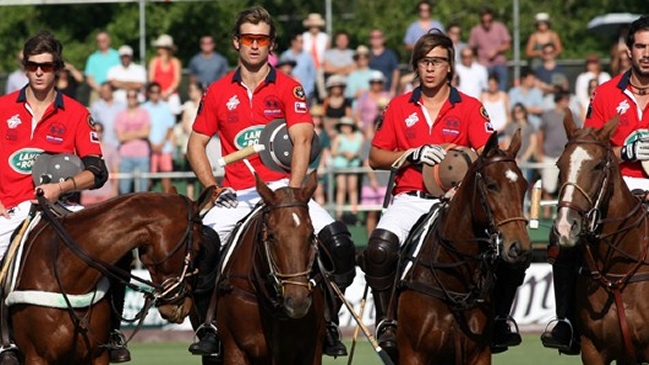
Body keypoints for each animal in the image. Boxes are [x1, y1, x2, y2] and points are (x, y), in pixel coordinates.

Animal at [213, 171, 324, 364]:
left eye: (312, 235)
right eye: (271, 236)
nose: (298, 303)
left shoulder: (312, 349)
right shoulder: (234, 349)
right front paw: (223, 195)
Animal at [394, 129, 532, 362]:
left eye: (524, 186)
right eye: (491, 185)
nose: (519, 247)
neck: (453, 283)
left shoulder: (479, 354)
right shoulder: (412, 354)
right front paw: (421, 153)